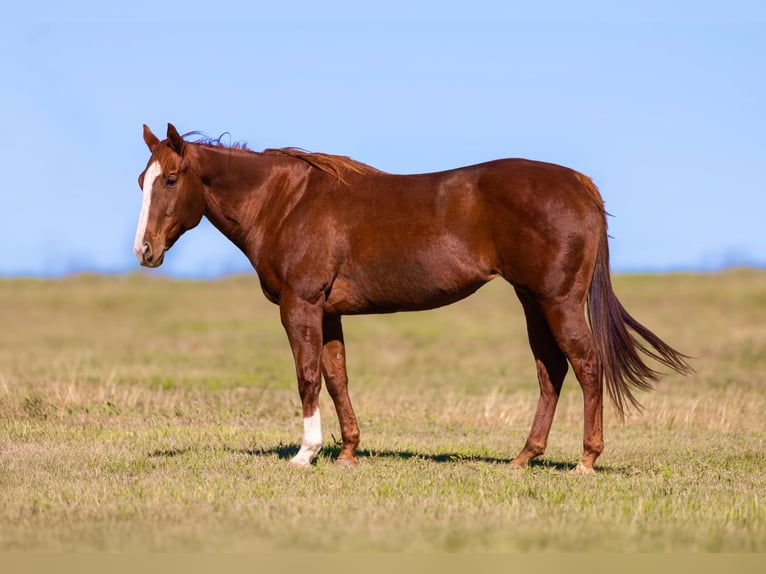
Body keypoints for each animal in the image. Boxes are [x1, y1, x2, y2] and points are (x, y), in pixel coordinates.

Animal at [135, 124, 692, 474]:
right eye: (141, 180)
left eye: (170, 179)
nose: (144, 251)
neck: (286, 204)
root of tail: (580, 184)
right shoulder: (329, 312)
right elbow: (336, 376)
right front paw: (348, 452)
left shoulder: (301, 305)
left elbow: (308, 375)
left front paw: (305, 453)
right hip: (532, 300)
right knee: (551, 369)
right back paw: (523, 457)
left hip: (558, 300)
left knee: (586, 364)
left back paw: (585, 460)